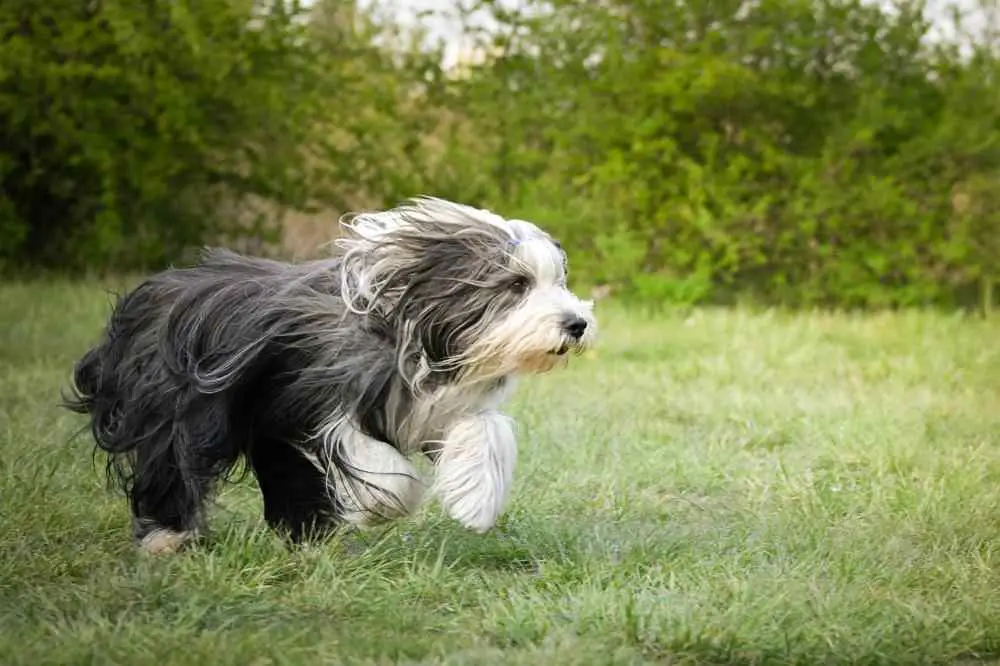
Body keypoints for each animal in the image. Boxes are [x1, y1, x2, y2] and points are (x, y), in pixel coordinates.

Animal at [66, 197, 596, 556]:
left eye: (559, 281)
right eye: (516, 284)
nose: (577, 324)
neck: (411, 325)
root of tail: (149, 294)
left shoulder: (435, 407)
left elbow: (486, 429)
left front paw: (477, 500)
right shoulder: (313, 395)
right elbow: (369, 458)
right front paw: (385, 504)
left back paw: (305, 537)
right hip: (180, 408)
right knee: (170, 462)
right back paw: (167, 537)